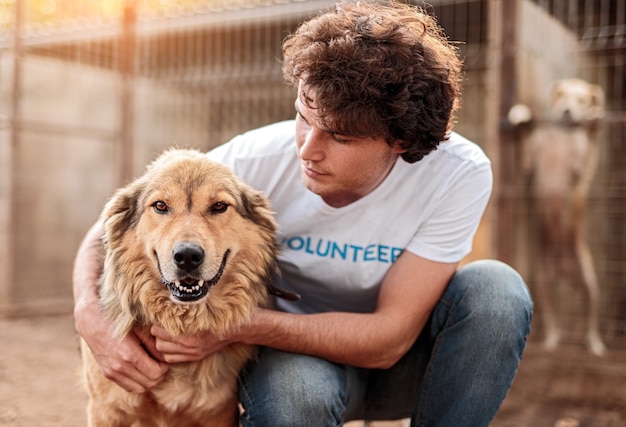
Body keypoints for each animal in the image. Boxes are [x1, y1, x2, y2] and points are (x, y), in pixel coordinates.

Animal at [80, 149, 298, 426]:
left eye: (219, 206)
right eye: (160, 206)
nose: (187, 256)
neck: (180, 320)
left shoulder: (219, 413)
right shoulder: (105, 411)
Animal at [508, 78, 604, 356]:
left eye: (582, 100)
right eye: (562, 97)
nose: (567, 112)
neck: (563, 134)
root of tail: (565, 270)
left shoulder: (582, 169)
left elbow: (592, 141)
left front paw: (596, 117)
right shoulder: (529, 160)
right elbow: (524, 135)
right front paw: (519, 114)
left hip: (590, 284)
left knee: (590, 318)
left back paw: (595, 344)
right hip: (543, 281)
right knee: (553, 319)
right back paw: (551, 341)